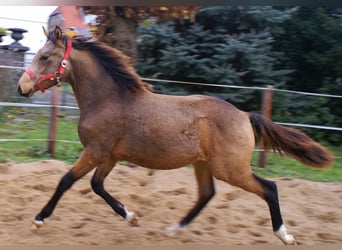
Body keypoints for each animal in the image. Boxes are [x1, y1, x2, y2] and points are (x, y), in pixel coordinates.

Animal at [16, 26, 334, 244]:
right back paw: (175, 229)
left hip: (230, 169)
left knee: (269, 188)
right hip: (203, 164)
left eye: (45, 56)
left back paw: (285, 235)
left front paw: (38, 220)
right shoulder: (110, 155)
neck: (109, 99)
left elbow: (66, 181)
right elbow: (97, 186)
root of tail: (245, 115)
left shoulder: (95, 151)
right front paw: (131, 217)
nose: (21, 88)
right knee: (207, 194)